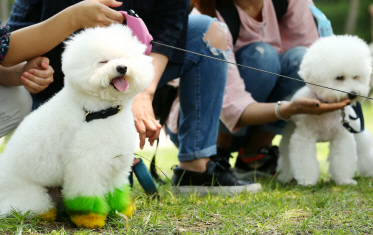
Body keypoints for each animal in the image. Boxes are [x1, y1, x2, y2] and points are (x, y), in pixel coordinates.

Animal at [0, 24, 153, 229]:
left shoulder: (116, 163)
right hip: (30, 195)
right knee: (32, 206)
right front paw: (90, 219)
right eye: (103, 61)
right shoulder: (85, 165)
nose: (122, 67)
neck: (97, 112)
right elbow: (86, 197)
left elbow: (116, 192)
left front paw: (120, 212)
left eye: (125, 58)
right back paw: (46, 214)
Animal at [276, 34, 372, 185]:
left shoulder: (342, 136)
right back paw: (286, 176)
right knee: (285, 155)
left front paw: (344, 180)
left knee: (364, 148)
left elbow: (343, 159)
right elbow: (304, 159)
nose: (353, 94)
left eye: (356, 77)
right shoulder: (304, 137)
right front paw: (307, 180)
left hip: (356, 128)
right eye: (339, 77)